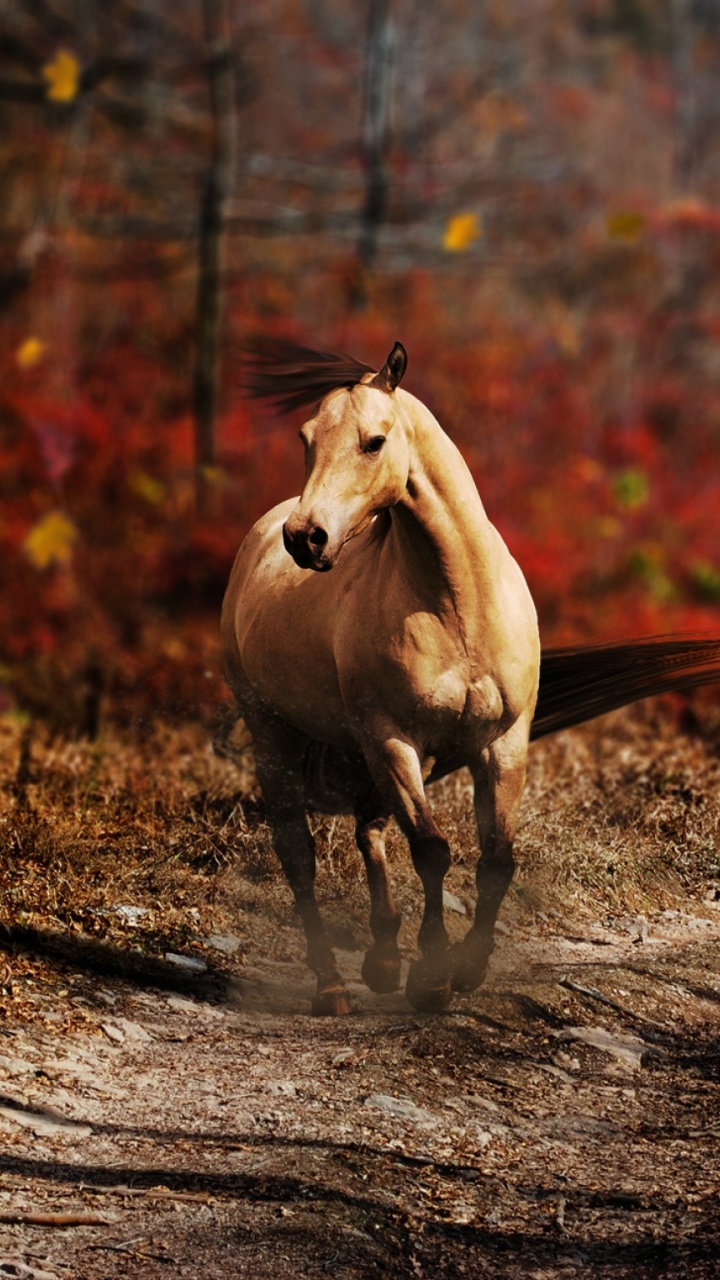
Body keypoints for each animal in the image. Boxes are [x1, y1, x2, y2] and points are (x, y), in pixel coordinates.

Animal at [221, 339, 720, 1016]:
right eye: (305, 439)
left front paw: (468, 968)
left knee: (370, 828)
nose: (305, 538)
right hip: (279, 731)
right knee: (299, 852)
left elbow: (497, 859)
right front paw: (432, 976)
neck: (459, 603)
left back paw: (382, 961)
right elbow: (433, 850)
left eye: (374, 441)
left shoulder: (501, 742)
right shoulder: (394, 739)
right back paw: (332, 985)